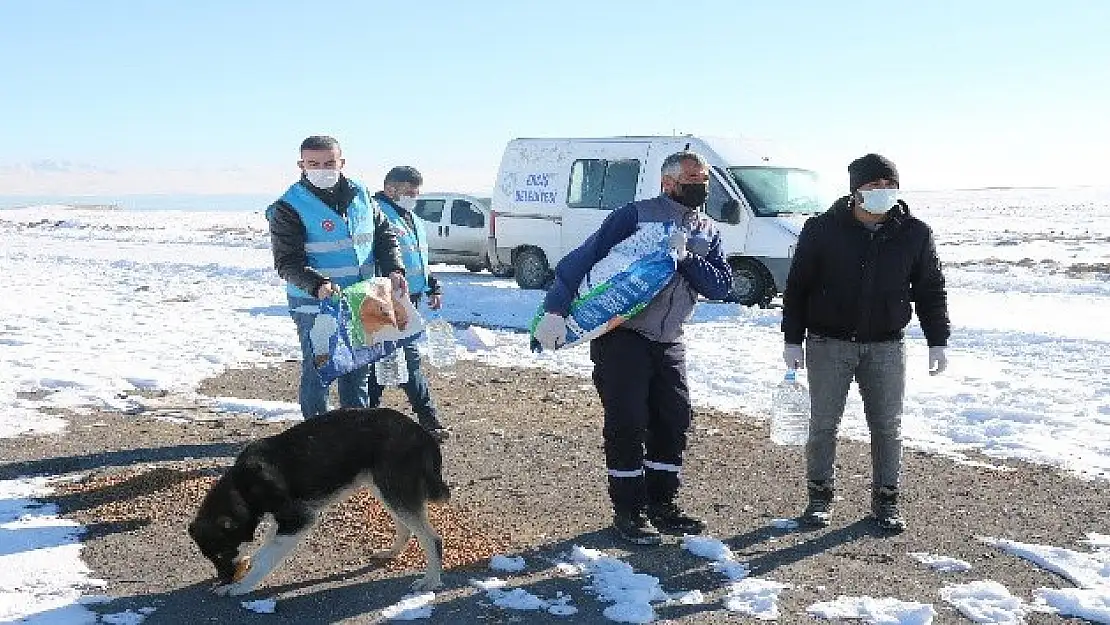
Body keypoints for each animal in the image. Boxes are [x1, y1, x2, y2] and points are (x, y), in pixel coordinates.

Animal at [188, 406, 448, 595]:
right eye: (210, 557)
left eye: (220, 554)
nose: (224, 579)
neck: (243, 486)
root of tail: (423, 434)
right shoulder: (283, 524)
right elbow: (267, 547)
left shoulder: (299, 520)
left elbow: (264, 558)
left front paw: (240, 587)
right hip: (385, 491)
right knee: (406, 529)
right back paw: (391, 553)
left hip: (394, 492)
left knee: (432, 539)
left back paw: (431, 581)